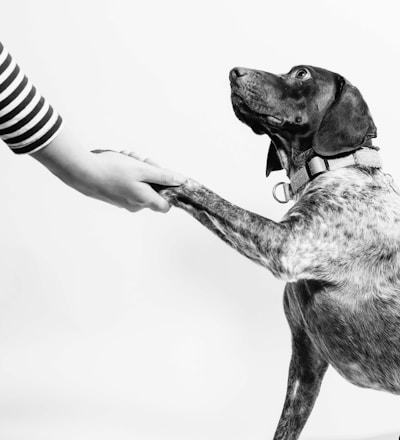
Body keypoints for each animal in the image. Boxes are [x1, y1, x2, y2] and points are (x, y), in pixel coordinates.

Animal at [158, 66, 400, 440]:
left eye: (302, 73)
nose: (233, 72)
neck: (336, 168)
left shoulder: (283, 245)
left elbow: (202, 193)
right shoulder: (306, 361)